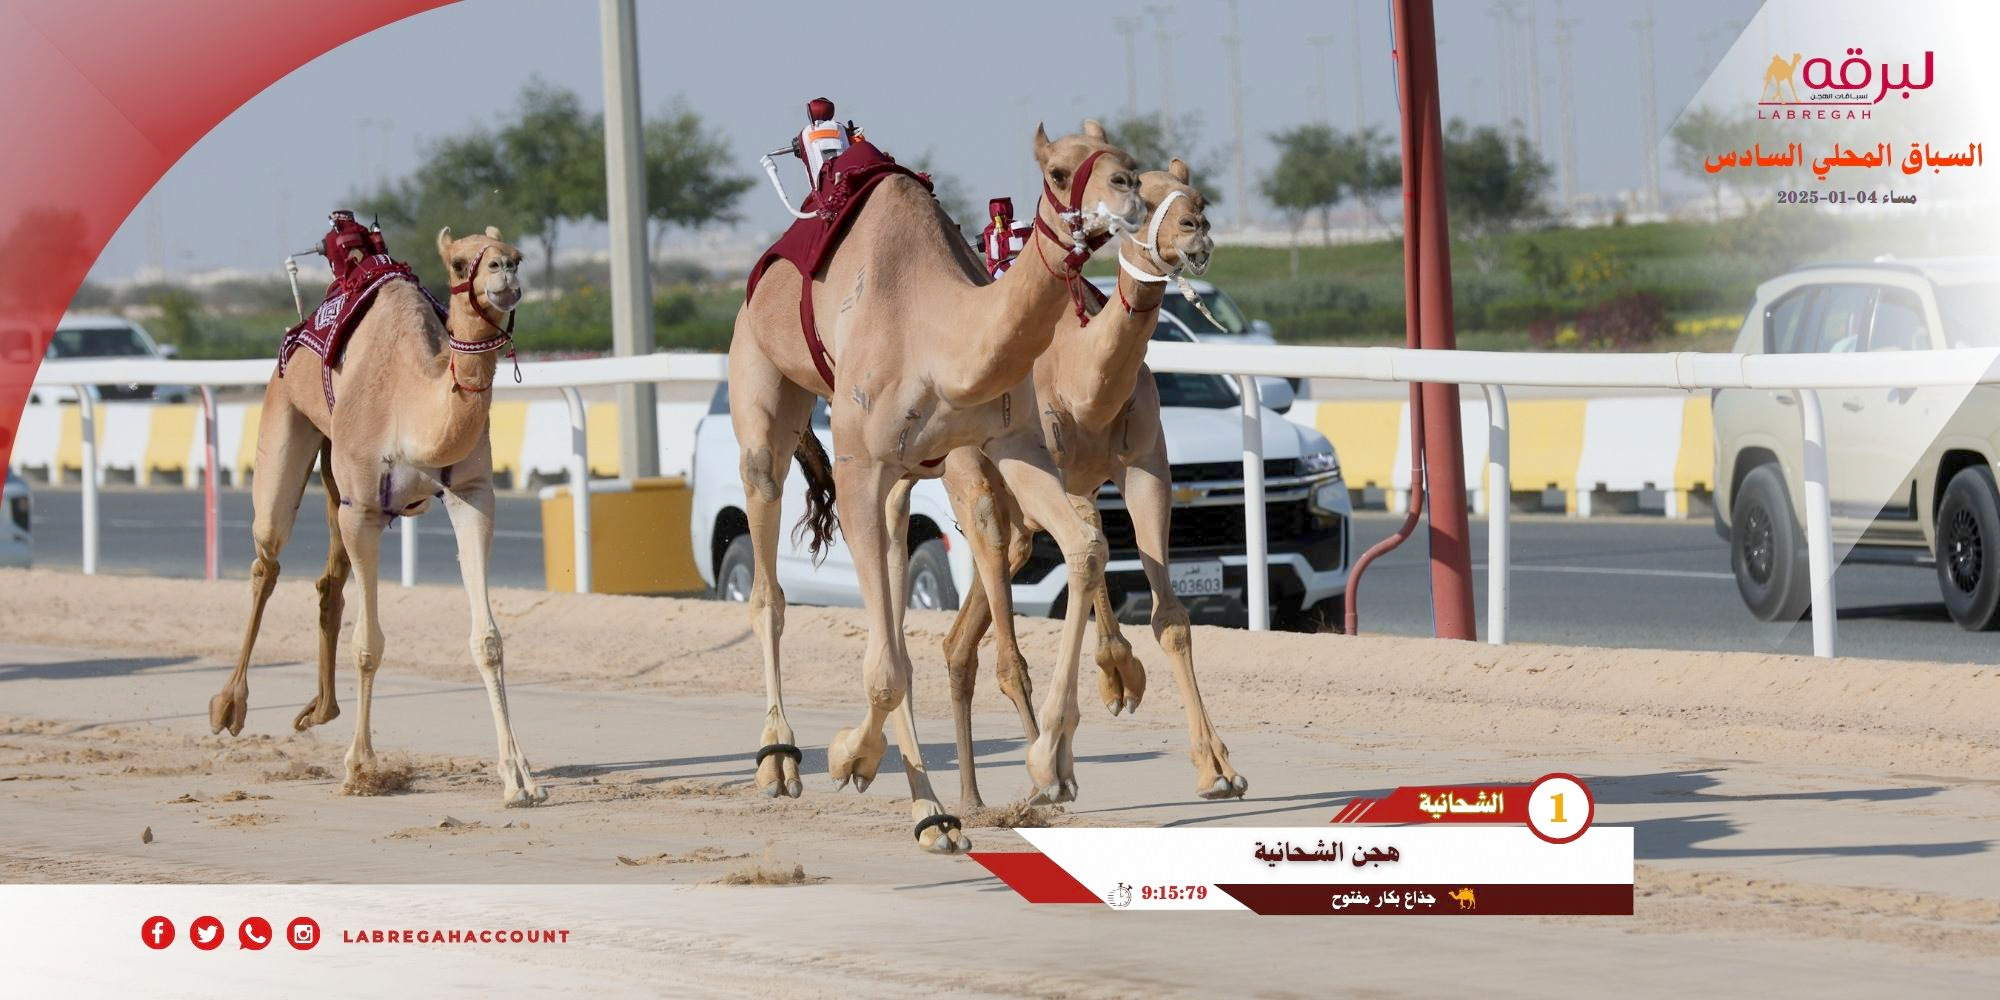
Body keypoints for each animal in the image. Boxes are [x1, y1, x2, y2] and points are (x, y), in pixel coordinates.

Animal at [205, 225, 548, 804]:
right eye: (460, 264)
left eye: (519, 257)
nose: (502, 272)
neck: (414, 409)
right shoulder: (365, 509)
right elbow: (368, 645)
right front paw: (361, 768)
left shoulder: (472, 496)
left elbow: (488, 640)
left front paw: (519, 777)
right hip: (286, 422)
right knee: (266, 560)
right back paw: (229, 706)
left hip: (335, 480)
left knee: (328, 580)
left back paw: (319, 710)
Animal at [732, 119, 1144, 852]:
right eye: (1059, 171)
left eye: (1128, 159)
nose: (1128, 192)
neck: (937, 334)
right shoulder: (859, 465)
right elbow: (885, 662)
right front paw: (847, 756)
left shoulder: (1009, 446)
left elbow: (1086, 546)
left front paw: (1051, 767)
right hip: (761, 388)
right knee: (769, 584)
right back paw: (781, 760)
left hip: (903, 483)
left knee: (892, 614)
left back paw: (935, 815)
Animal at [936, 160, 1248, 808]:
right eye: (1140, 196)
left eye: (1200, 198)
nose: (1195, 229)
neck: (1085, 379)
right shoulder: (1048, 465)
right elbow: (1090, 550)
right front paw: (1099, 694)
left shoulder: (1146, 466)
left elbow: (1169, 616)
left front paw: (1217, 768)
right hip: (973, 479)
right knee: (1005, 638)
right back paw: (1040, 775)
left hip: (1024, 509)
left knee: (967, 634)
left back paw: (975, 798)